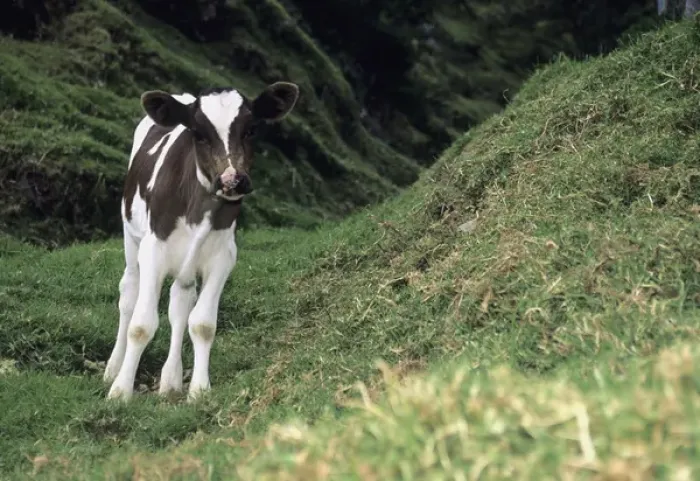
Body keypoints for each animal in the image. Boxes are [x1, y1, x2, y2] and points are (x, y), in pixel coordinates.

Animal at [103, 81, 300, 401]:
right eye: (198, 133)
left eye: (251, 129)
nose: (232, 180)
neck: (198, 206)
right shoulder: (153, 250)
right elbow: (141, 325)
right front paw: (120, 392)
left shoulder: (223, 257)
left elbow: (203, 323)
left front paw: (198, 390)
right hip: (131, 239)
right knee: (128, 295)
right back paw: (113, 368)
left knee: (180, 303)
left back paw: (170, 380)